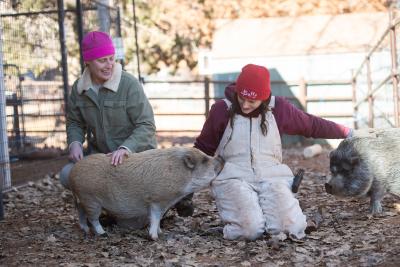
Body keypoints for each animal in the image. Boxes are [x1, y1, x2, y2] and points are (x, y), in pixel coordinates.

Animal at [70, 148, 223, 240]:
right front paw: (155, 237)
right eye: (204, 160)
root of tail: (73, 171)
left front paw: (161, 233)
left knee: (81, 212)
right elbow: (155, 217)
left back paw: (85, 230)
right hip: (90, 199)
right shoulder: (157, 199)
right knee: (93, 219)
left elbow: (157, 217)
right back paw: (103, 234)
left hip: (82, 199)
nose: (221, 157)